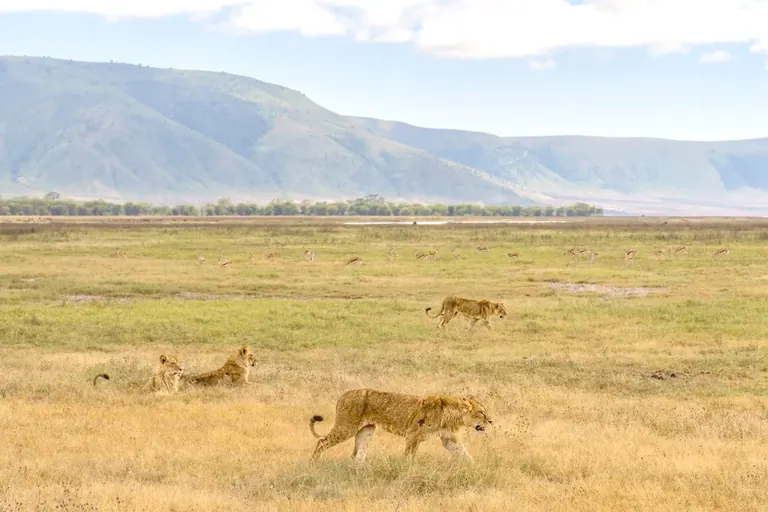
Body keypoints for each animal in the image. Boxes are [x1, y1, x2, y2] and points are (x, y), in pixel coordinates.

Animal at [309, 389, 492, 463]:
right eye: (481, 412)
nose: (491, 421)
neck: (451, 415)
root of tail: (343, 395)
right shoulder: (413, 435)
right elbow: (408, 457)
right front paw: (405, 470)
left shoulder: (449, 439)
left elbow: (465, 454)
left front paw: (474, 469)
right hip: (346, 427)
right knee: (322, 442)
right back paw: (314, 463)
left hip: (366, 431)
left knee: (358, 455)